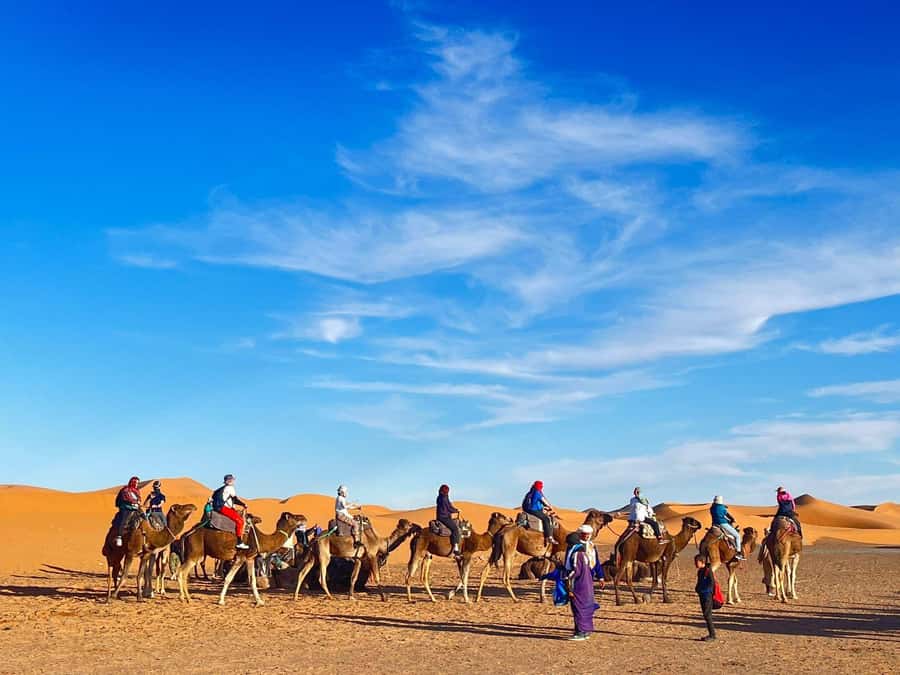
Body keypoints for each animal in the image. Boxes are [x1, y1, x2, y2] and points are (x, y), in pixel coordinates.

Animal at [176, 511, 306, 606]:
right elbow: (228, 578)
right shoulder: (240, 557)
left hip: (194, 555)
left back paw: (184, 597)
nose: (304, 517)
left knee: (181, 571)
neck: (260, 539)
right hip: (194, 554)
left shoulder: (250, 558)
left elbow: (252, 580)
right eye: (295, 517)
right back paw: (187, 598)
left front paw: (259, 601)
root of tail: (186, 533)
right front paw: (221, 600)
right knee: (182, 572)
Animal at [477, 509, 613, 602]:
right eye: (600, 514)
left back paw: (477, 598)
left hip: (496, 550)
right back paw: (515, 599)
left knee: (484, 571)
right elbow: (566, 576)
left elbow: (545, 576)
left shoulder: (549, 557)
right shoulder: (560, 557)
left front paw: (543, 598)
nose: (610, 517)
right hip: (509, 549)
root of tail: (501, 531)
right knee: (505, 577)